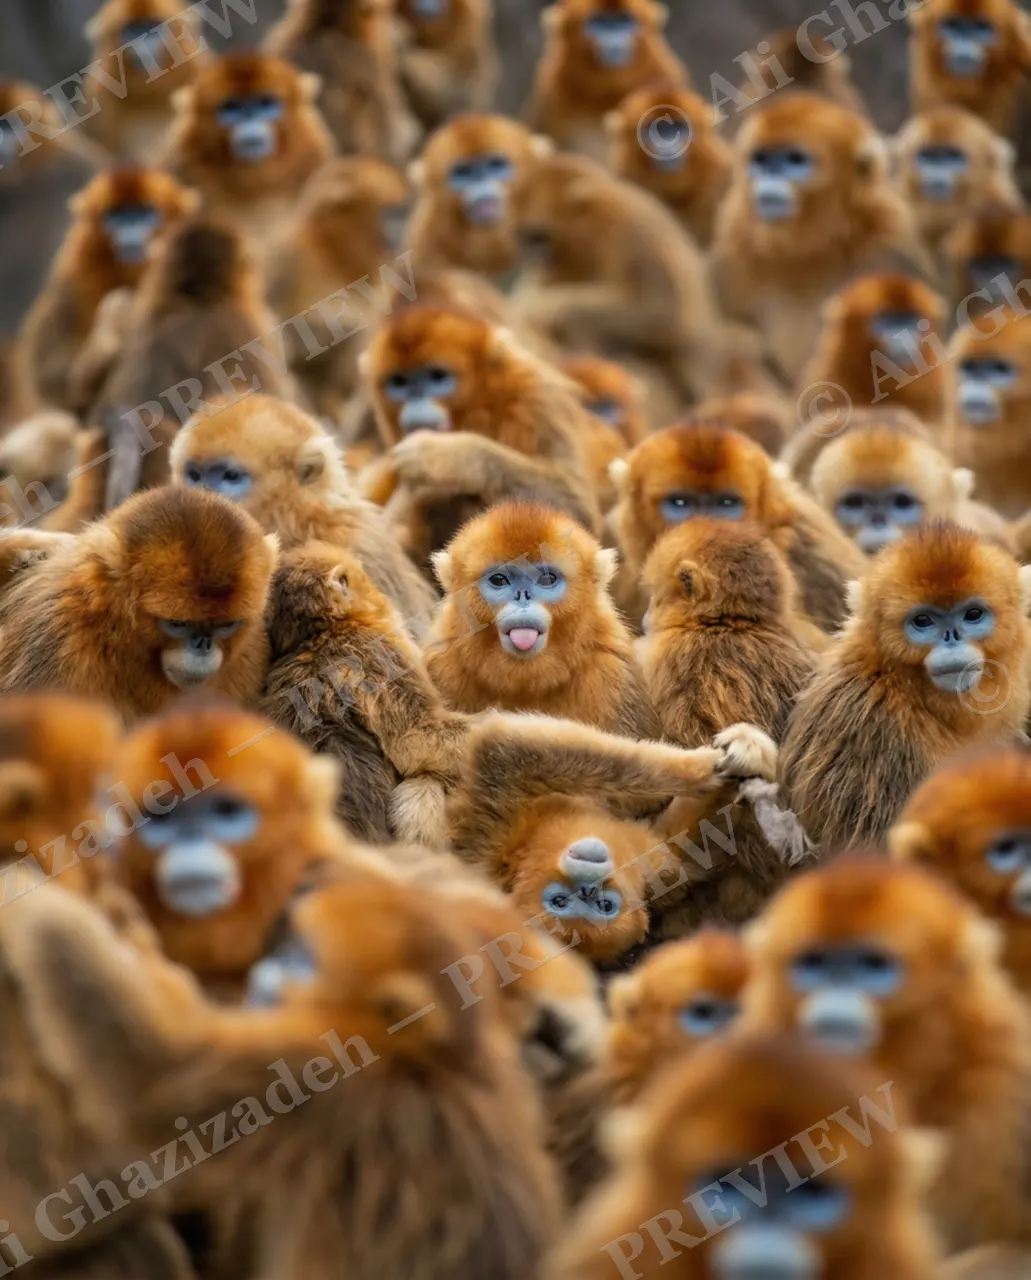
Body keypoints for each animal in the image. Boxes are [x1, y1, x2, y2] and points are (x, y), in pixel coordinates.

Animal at [0, 867, 563, 1280]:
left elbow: (152, 1072)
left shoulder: (330, 1075)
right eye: (291, 944)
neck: (439, 1066)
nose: (268, 967)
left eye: (303, 956)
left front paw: (31, 900)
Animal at [17, 166, 199, 415]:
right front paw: (107, 341)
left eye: (145, 214)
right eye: (116, 217)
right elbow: (48, 375)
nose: (129, 231)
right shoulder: (73, 274)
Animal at [360, 307, 601, 563]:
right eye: (399, 382)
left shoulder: (537, 396)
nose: (416, 400)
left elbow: (577, 512)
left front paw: (443, 457)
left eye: (437, 376)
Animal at [447, 709, 787, 964]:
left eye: (602, 904)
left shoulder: (496, 833)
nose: (587, 890)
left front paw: (743, 752)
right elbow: (509, 749)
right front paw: (702, 770)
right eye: (560, 901)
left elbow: (503, 748)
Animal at [711, 92, 933, 386]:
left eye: (795, 160)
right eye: (761, 158)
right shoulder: (735, 243)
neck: (812, 248)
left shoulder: (890, 242)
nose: (769, 173)